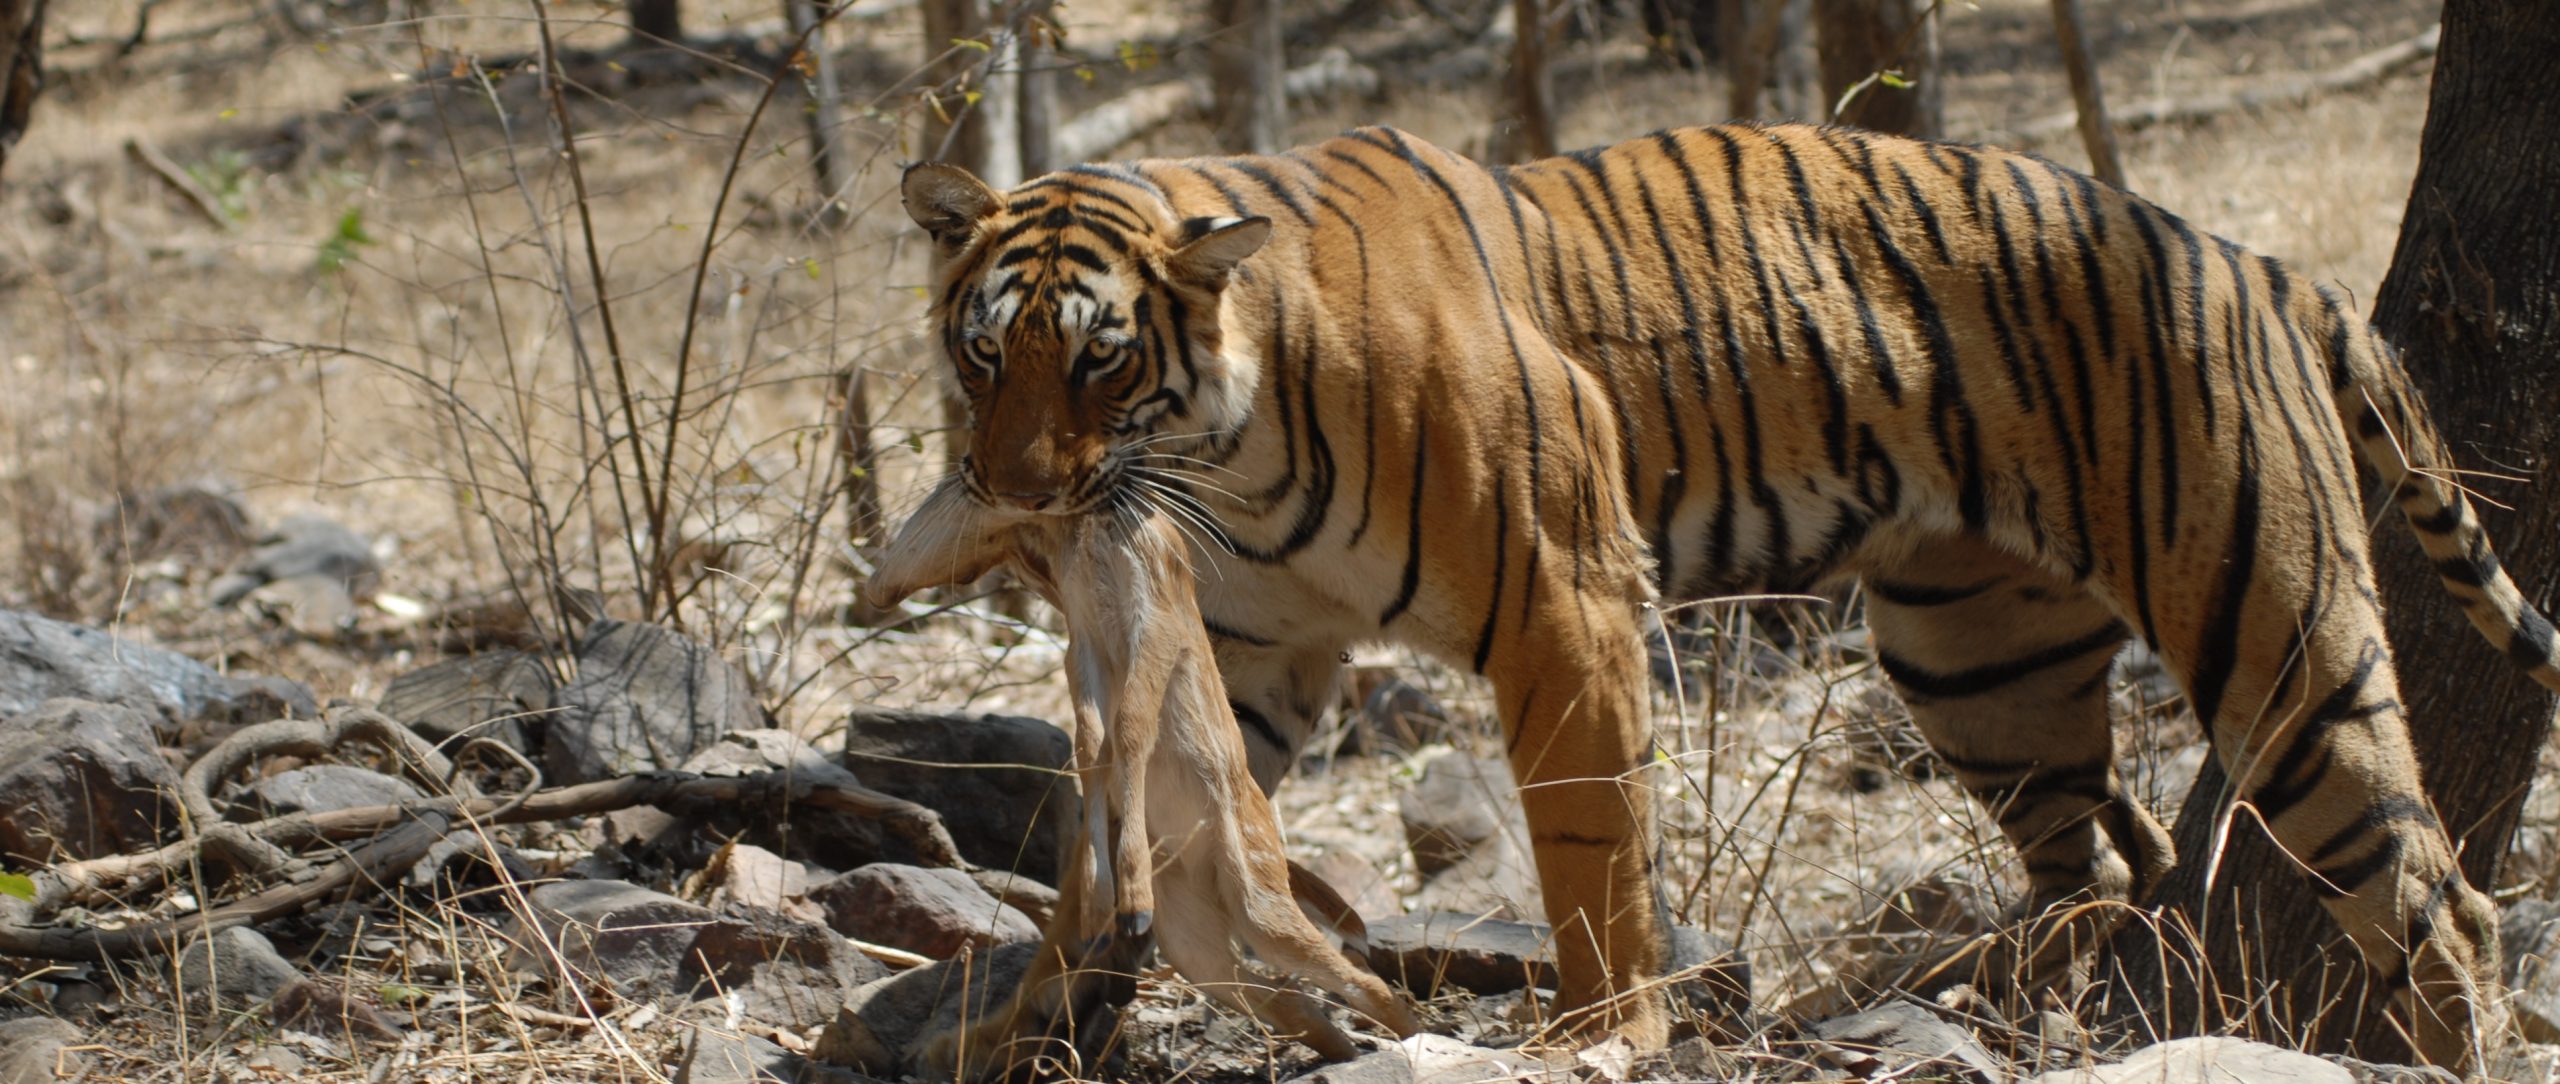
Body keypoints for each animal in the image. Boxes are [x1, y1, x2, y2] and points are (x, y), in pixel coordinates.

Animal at [885, 119, 2560, 1071]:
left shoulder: (1562, 600)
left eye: (1098, 360)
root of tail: (2254, 260)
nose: (1018, 490)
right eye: (983, 350)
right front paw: (1028, 1025)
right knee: (2116, 860)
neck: (1225, 449)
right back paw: (1988, 992)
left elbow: (1588, 847)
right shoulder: (1249, 653)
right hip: (1977, 662)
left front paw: (1597, 1034)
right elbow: (1128, 849)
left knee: (2438, 895)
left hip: (2272, 640)